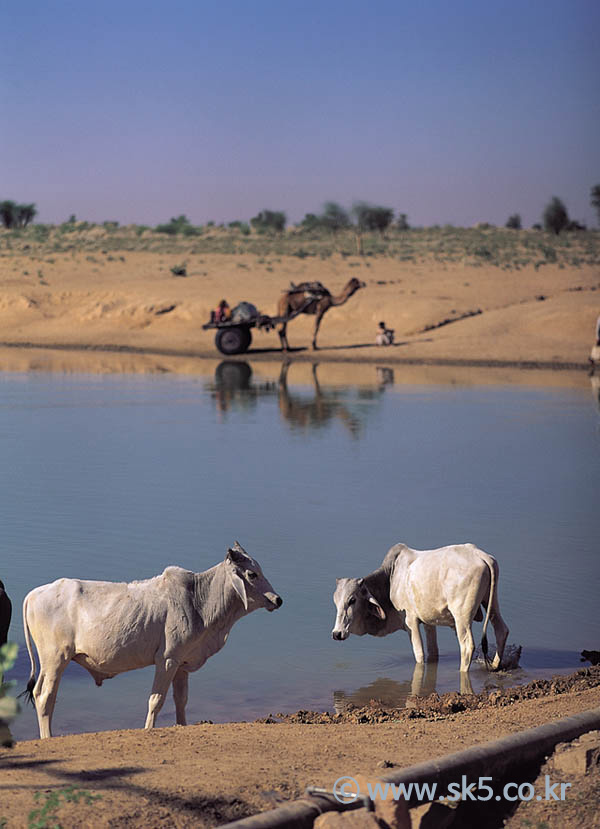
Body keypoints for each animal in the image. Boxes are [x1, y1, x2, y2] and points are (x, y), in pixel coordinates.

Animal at [22, 544, 282, 736]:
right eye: (252, 574)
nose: (277, 600)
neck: (199, 600)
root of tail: (34, 594)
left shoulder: (181, 664)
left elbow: (181, 700)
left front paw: (181, 726)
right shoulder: (167, 660)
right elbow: (156, 700)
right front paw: (149, 729)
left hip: (50, 663)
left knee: (39, 694)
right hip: (56, 659)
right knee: (46, 698)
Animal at [330, 544, 508, 672]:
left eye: (352, 600)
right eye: (335, 601)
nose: (337, 633)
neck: (390, 579)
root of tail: (479, 555)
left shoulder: (411, 622)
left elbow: (419, 654)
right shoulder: (429, 622)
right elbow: (433, 651)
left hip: (462, 616)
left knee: (467, 646)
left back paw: (462, 671)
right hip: (491, 602)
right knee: (501, 630)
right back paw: (495, 666)